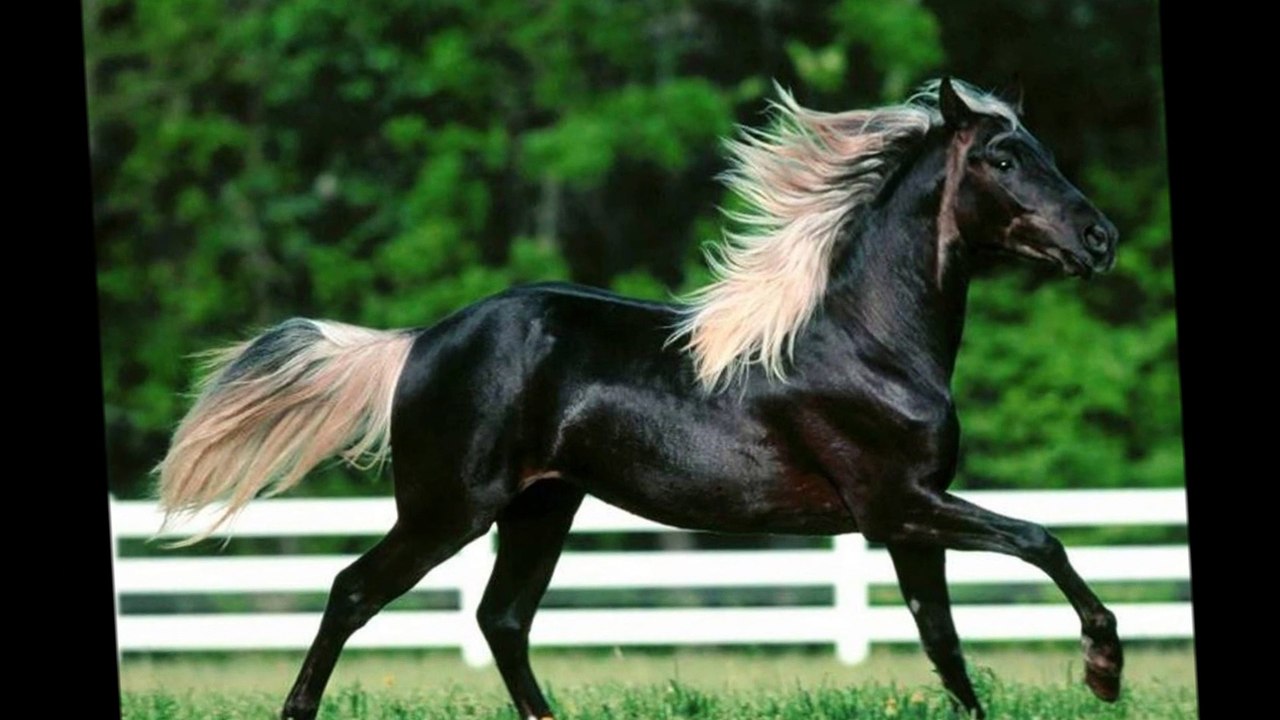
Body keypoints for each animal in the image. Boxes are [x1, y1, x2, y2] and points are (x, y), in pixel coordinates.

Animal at [155, 77, 1123, 720]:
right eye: (1004, 157)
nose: (1100, 239)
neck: (869, 341)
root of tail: (421, 342)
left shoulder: (907, 520)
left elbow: (944, 643)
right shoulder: (900, 504)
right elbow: (1041, 540)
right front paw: (1104, 667)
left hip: (541, 507)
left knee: (502, 618)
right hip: (448, 510)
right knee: (355, 590)